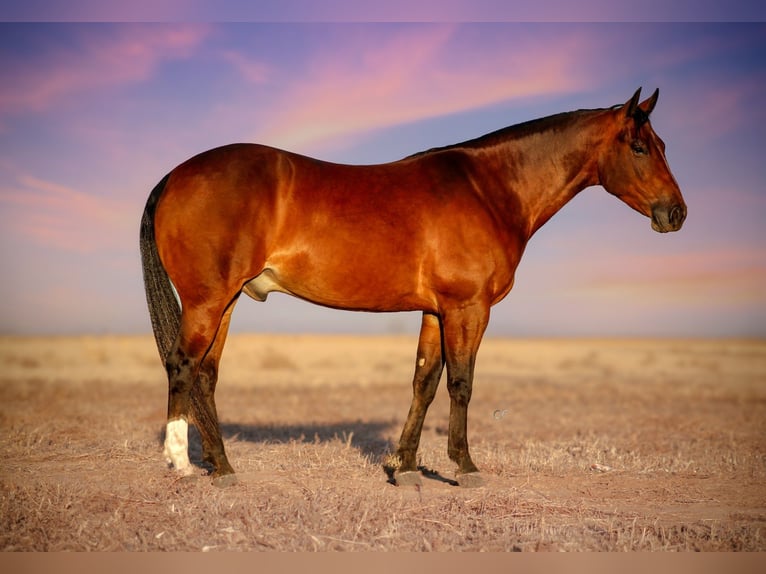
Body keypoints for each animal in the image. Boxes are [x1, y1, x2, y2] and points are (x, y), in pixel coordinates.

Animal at [140, 87, 686, 488]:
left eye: (663, 146)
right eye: (639, 147)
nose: (675, 213)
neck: (489, 189)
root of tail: (176, 175)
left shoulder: (435, 311)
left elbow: (424, 381)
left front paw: (403, 468)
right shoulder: (469, 308)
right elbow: (461, 382)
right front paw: (465, 468)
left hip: (227, 300)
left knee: (206, 374)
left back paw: (223, 467)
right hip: (208, 300)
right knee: (183, 365)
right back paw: (184, 464)